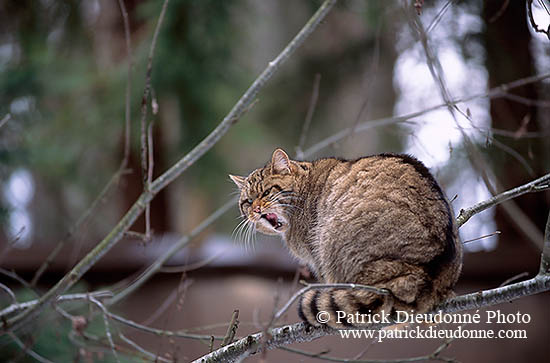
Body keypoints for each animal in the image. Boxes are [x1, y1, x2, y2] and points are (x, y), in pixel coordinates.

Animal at [231, 148, 464, 330]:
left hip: (333, 241)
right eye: (247, 201)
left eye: (267, 192)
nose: (255, 209)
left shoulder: (317, 256)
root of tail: (427, 271)